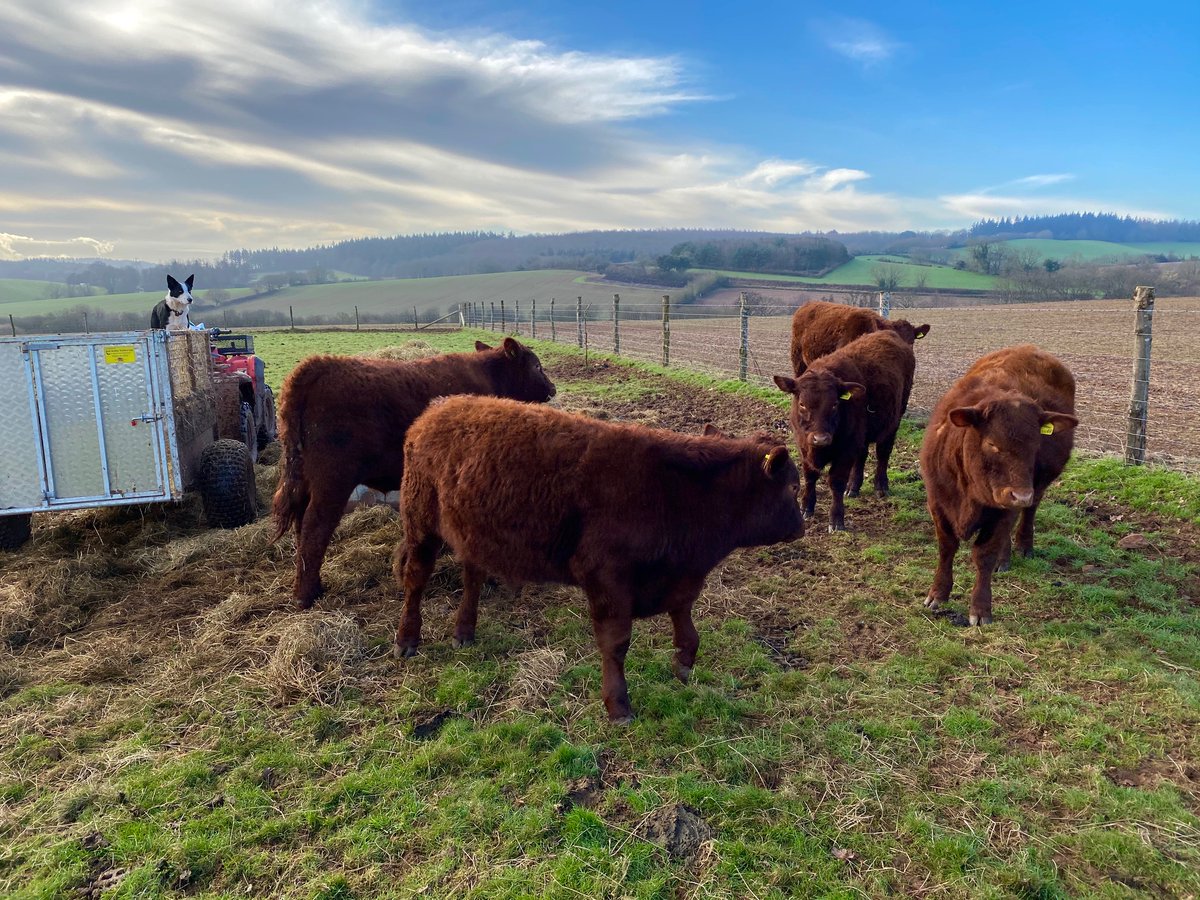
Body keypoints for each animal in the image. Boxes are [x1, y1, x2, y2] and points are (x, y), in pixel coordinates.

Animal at [271, 337, 556, 609]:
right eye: (537, 366)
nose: (552, 388)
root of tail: (315, 366)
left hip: (306, 480)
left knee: (301, 526)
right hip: (332, 481)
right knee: (315, 528)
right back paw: (306, 596)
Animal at [394, 397, 805, 723]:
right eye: (793, 486)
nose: (802, 527)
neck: (676, 492)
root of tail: (436, 411)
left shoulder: (678, 577)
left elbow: (687, 627)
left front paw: (684, 666)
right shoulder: (607, 580)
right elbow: (616, 643)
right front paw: (618, 705)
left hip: (471, 532)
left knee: (472, 576)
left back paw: (464, 631)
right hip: (420, 523)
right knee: (416, 577)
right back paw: (407, 639)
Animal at [773, 330, 915, 532]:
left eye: (834, 404)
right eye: (802, 404)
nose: (821, 438)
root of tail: (889, 332)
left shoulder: (846, 450)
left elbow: (836, 482)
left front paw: (836, 519)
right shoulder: (804, 446)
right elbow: (809, 476)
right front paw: (806, 507)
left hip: (894, 420)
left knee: (883, 453)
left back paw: (881, 486)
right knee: (862, 455)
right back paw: (854, 486)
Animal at [919, 345, 1077, 626]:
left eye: (1036, 444)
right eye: (992, 443)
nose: (1021, 495)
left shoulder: (1004, 511)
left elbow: (984, 554)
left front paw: (981, 610)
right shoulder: (937, 502)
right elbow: (946, 547)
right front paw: (938, 594)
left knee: (1029, 514)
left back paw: (1021, 548)